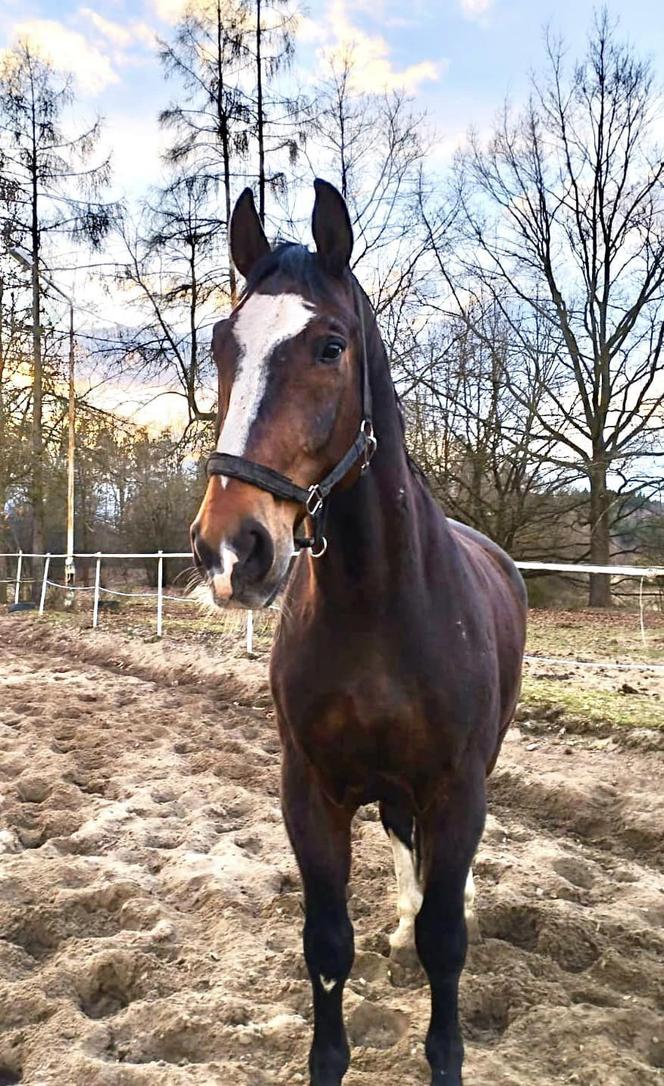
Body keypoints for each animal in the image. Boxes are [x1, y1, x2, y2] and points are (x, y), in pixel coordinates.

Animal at [192, 182, 530, 1081]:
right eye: (222, 346)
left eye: (330, 347)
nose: (231, 551)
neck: (379, 607)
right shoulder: (311, 793)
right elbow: (326, 946)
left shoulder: (457, 788)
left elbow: (447, 941)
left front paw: (445, 1056)